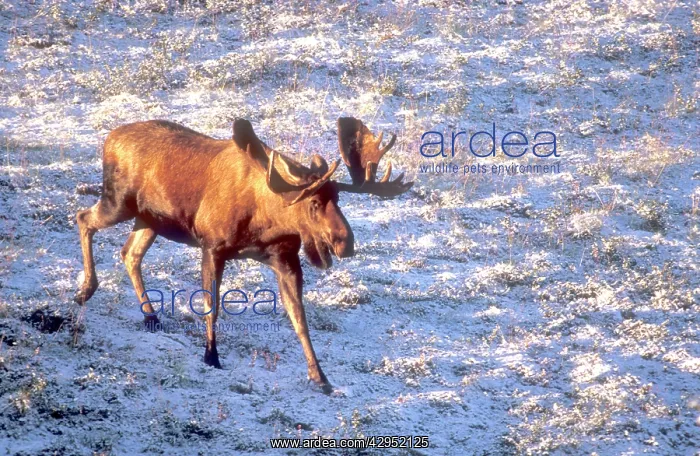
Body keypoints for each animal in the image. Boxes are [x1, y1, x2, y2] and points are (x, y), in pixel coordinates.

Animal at [74, 117, 412, 393]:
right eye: (314, 203)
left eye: (339, 198)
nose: (346, 243)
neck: (267, 219)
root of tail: (109, 138)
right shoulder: (212, 247)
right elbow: (211, 306)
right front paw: (211, 355)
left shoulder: (285, 259)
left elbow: (299, 318)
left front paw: (320, 377)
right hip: (118, 202)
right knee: (83, 218)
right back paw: (85, 290)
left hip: (149, 219)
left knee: (129, 253)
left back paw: (150, 315)